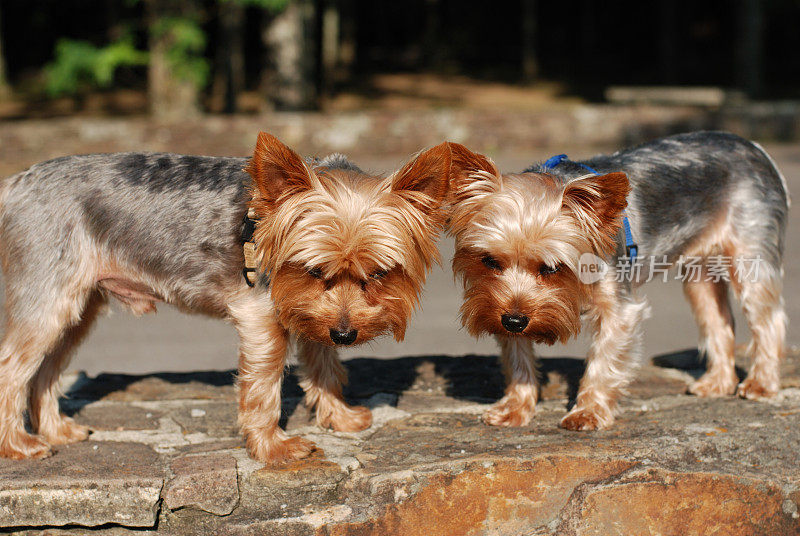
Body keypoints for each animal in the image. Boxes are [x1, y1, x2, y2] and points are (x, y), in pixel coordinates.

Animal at [0, 132, 450, 462]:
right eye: (313, 270)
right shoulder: (263, 314)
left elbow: (324, 365)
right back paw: (18, 445)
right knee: (12, 369)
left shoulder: (310, 313)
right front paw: (274, 448)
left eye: (379, 273)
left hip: (79, 307)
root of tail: (15, 184)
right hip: (47, 297)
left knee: (46, 371)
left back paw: (57, 431)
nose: (345, 334)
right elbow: (264, 387)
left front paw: (338, 418)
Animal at [446, 133, 792, 432]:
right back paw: (717, 384)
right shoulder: (500, 305)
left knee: (768, 319)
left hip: (751, 251)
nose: (515, 320)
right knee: (718, 320)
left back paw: (761, 384)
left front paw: (588, 412)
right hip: (700, 271)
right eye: (489, 261)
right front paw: (515, 408)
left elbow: (604, 359)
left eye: (553, 268)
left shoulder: (619, 307)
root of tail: (756, 149)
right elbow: (517, 356)